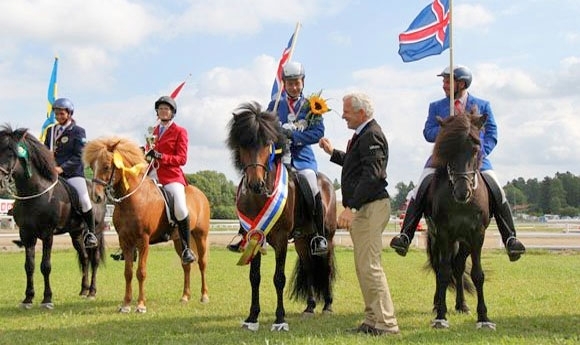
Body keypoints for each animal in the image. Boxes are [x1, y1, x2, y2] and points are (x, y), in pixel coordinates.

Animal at [0, 125, 106, 308]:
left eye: (11, 153)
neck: (35, 193)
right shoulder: (26, 235)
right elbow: (29, 266)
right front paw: (28, 298)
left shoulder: (47, 234)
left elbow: (45, 266)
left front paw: (47, 299)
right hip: (76, 234)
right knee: (85, 258)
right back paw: (83, 290)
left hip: (96, 232)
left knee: (94, 259)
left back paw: (92, 291)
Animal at [82, 137, 212, 312]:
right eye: (92, 167)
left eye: (107, 166)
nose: (95, 196)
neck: (133, 198)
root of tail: (200, 194)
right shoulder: (125, 241)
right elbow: (128, 272)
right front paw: (126, 305)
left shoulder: (143, 240)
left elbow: (141, 272)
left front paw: (141, 305)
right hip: (179, 240)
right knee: (186, 265)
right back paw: (185, 296)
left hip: (200, 236)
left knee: (202, 263)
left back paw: (204, 296)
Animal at [225, 101, 338, 330]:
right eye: (243, 144)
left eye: (267, 144)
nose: (255, 185)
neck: (259, 197)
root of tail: (326, 182)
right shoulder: (254, 236)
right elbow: (254, 277)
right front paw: (252, 317)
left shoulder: (281, 239)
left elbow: (279, 278)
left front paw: (279, 319)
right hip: (303, 241)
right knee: (309, 268)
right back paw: (310, 308)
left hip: (327, 238)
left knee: (327, 266)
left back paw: (328, 306)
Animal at [424, 111, 496, 330]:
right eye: (447, 150)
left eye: (476, 149)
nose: (462, 192)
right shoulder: (444, 234)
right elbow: (443, 272)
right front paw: (441, 315)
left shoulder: (477, 235)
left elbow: (478, 274)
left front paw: (483, 317)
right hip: (438, 240)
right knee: (441, 268)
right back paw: (438, 304)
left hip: (463, 242)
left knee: (458, 267)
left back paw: (461, 305)